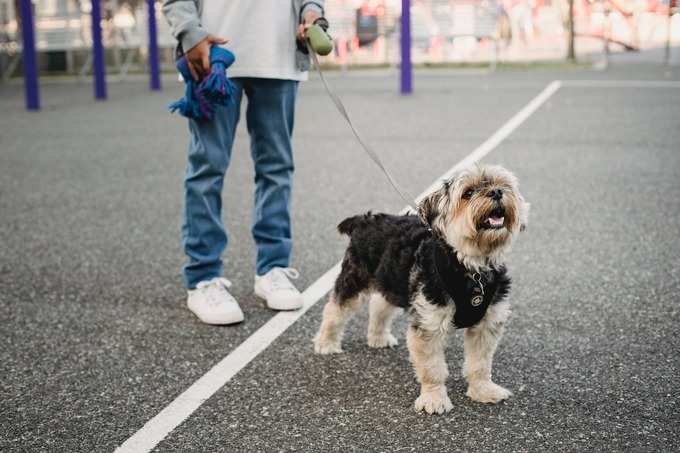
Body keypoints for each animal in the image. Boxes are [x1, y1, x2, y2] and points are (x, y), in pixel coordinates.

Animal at [314, 165, 532, 414]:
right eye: (468, 193)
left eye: (503, 185)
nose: (496, 192)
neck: (470, 266)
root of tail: (364, 219)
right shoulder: (429, 324)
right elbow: (432, 368)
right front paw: (434, 399)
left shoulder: (486, 324)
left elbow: (480, 364)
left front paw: (483, 390)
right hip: (355, 278)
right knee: (335, 309)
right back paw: (326, 342)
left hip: (392, 279)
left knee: (379, 304)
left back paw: (378, 337)